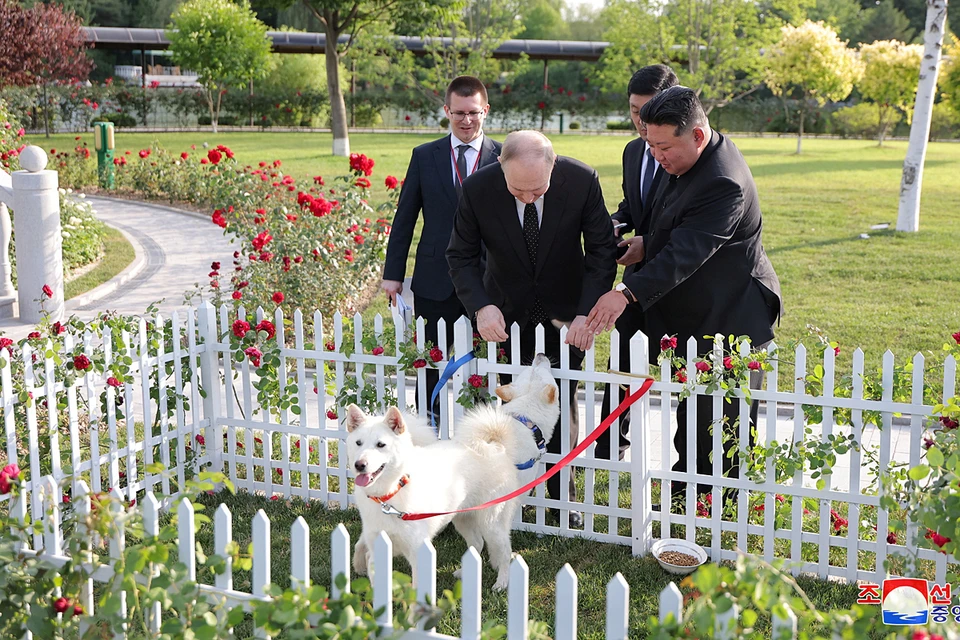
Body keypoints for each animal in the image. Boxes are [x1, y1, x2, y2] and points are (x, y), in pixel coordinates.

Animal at [344, 356, 560, 592]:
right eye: (358, 443)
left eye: (381, 445)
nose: (540, 355)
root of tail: (495, 445)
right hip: (475, 519)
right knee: (485, 545)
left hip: (479, 519)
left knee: (492, 548)